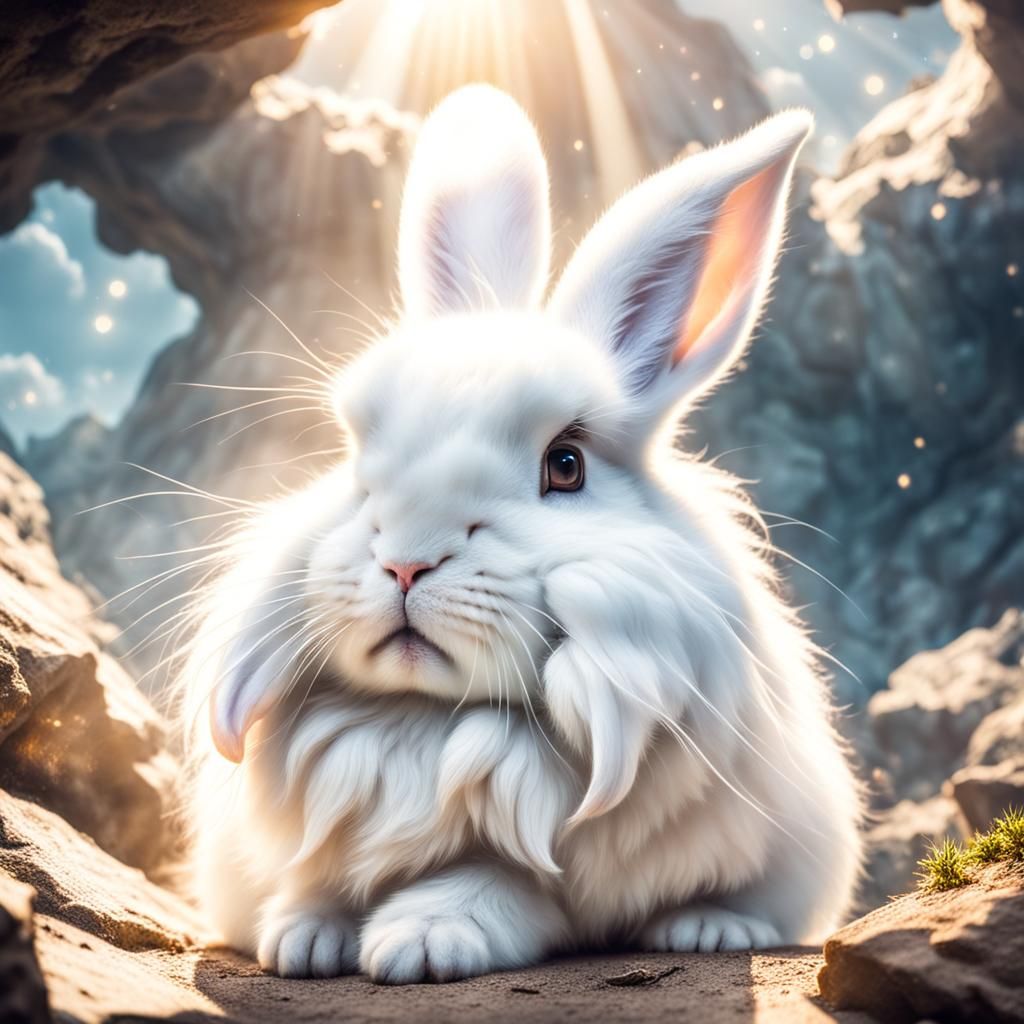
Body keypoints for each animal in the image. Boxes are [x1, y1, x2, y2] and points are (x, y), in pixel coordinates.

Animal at [181, 84, 862, 985]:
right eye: (358, 454)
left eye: (565, 465)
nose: (406, 562)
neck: (429, 723)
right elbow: (316, 880)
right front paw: (302, 939)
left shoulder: (550, 867)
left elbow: (493, 883)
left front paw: (418, 942)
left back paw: (709, 929)